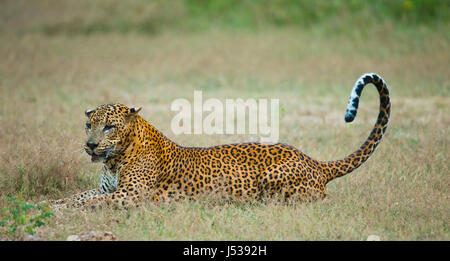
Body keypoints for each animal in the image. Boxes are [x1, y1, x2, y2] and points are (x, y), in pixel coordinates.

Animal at [47, 73, 388, 209]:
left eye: (109, 127)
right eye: (89, 125)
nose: (91, 145)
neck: (114, 159)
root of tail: (315, 162)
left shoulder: (131, 196)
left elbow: (86, 203)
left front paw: (59, 212)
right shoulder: (108, 190)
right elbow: (78, 196)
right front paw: (46, 204)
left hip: (275, 179)